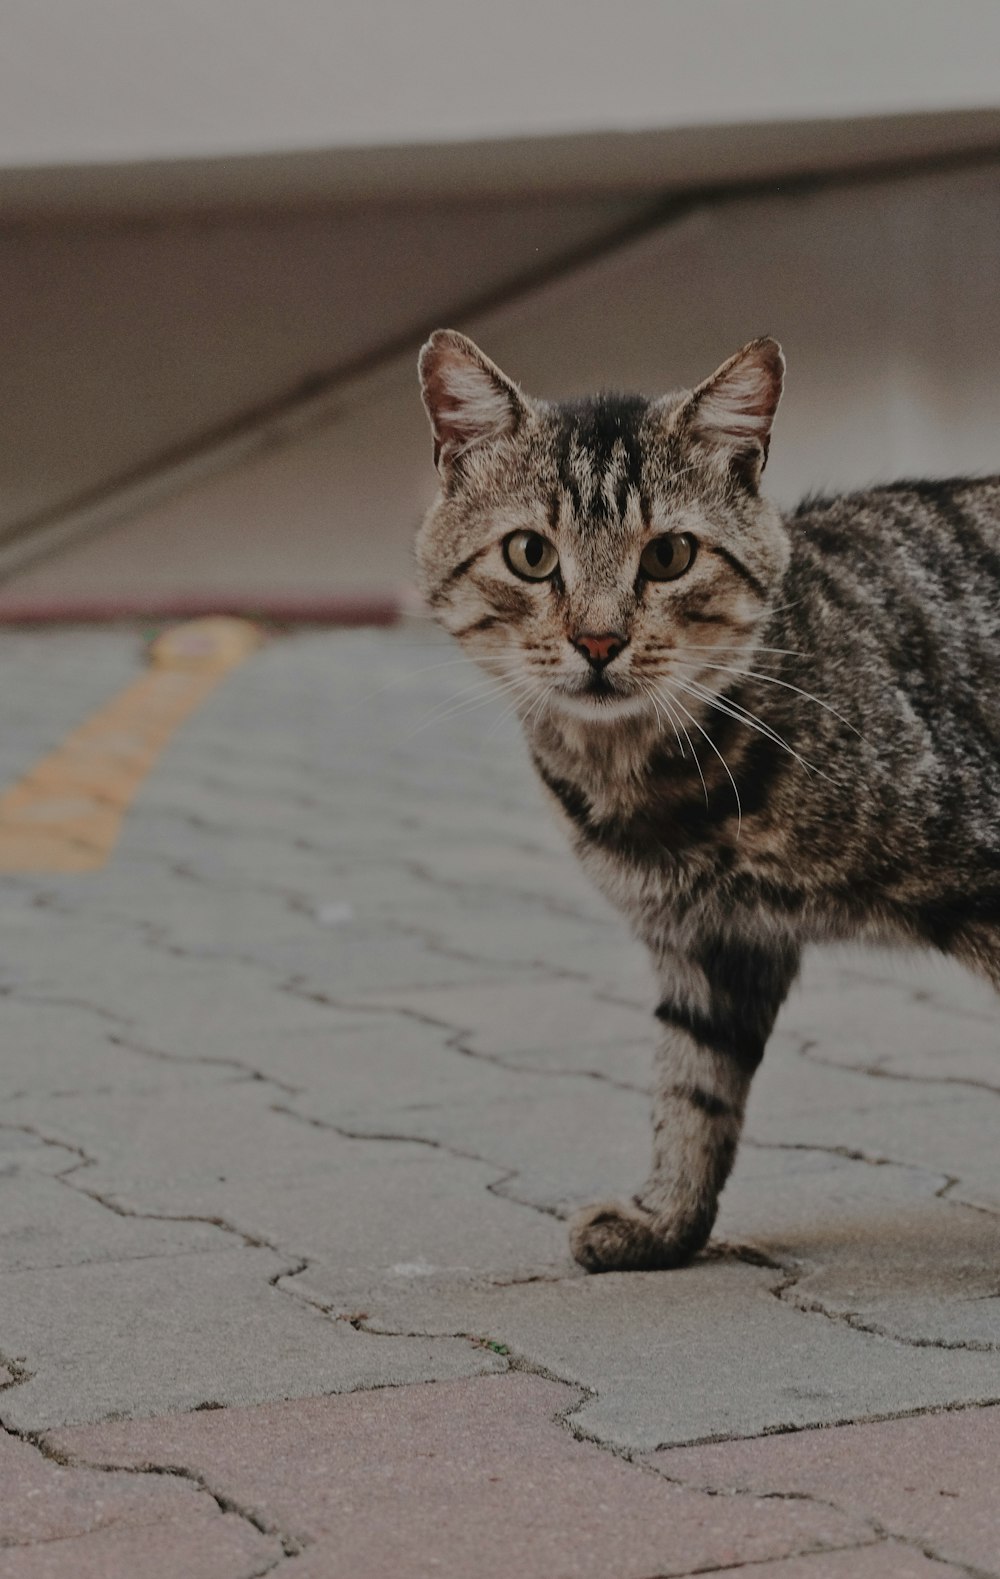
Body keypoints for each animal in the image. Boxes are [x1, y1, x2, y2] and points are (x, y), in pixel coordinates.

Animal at [413, 326, 998, 1275]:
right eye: (531, 554)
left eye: (669, 556)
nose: (599, 640)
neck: (648, 785)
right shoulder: (711, 943)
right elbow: (691, 1094)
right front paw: (663, 1221)